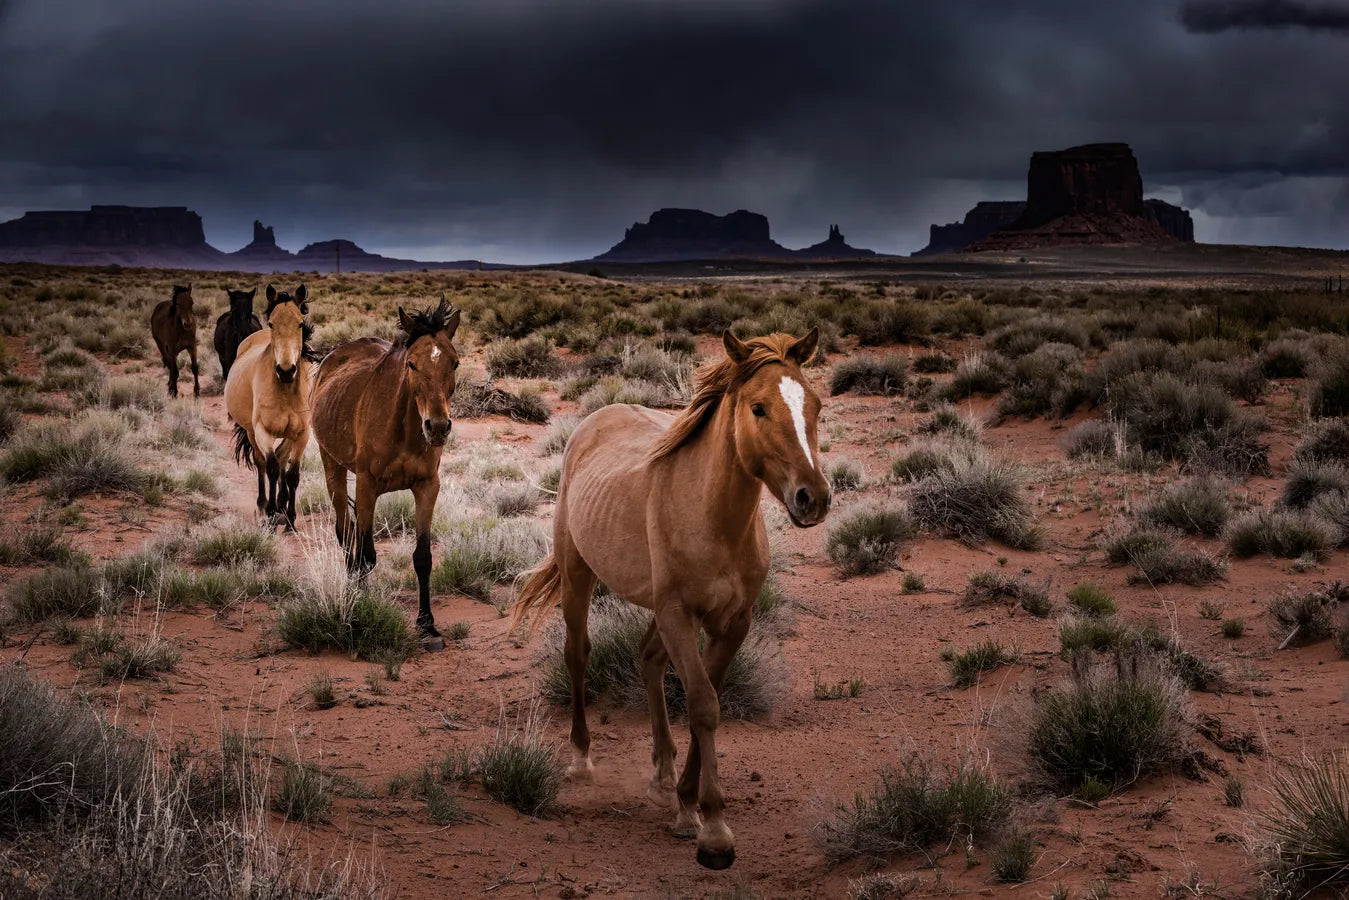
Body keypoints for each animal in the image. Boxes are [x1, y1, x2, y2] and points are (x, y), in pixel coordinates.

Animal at [224, 284, 315, 530]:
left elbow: (292, 474)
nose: (286, 371)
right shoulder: (263, 432)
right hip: (251, 432)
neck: (285, 390)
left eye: (300, 324)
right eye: (272, 323)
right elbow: (272, 468)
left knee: (282, 457)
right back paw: (264, 505)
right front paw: (271, 514)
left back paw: (282, 505)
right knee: (262, 463)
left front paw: (291, 519)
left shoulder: (302, 434)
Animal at [310, 299, 461, 650]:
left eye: (455, 363)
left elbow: (422, 557)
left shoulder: (427, 486)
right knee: (344, 532)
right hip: (332, 466)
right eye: (412, 364)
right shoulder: (367, 486)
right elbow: (366, 553)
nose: (437, 427)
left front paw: (427, 625)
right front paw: (359, 612)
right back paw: (351, 587)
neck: (403, 430)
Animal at [509, 328, 832, 870]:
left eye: (815, 404)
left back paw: (661, 773)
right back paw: (581, 757)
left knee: (648, 660)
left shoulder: (733, 622)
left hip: (656, 610)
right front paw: (714, 832)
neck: (712, 516)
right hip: (579, 576)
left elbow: (710, 698)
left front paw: (686, 802)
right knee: (578, 655)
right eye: (759, 408)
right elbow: (702, 705)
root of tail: (595, 419)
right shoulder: (680, 615)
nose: (814, 498)